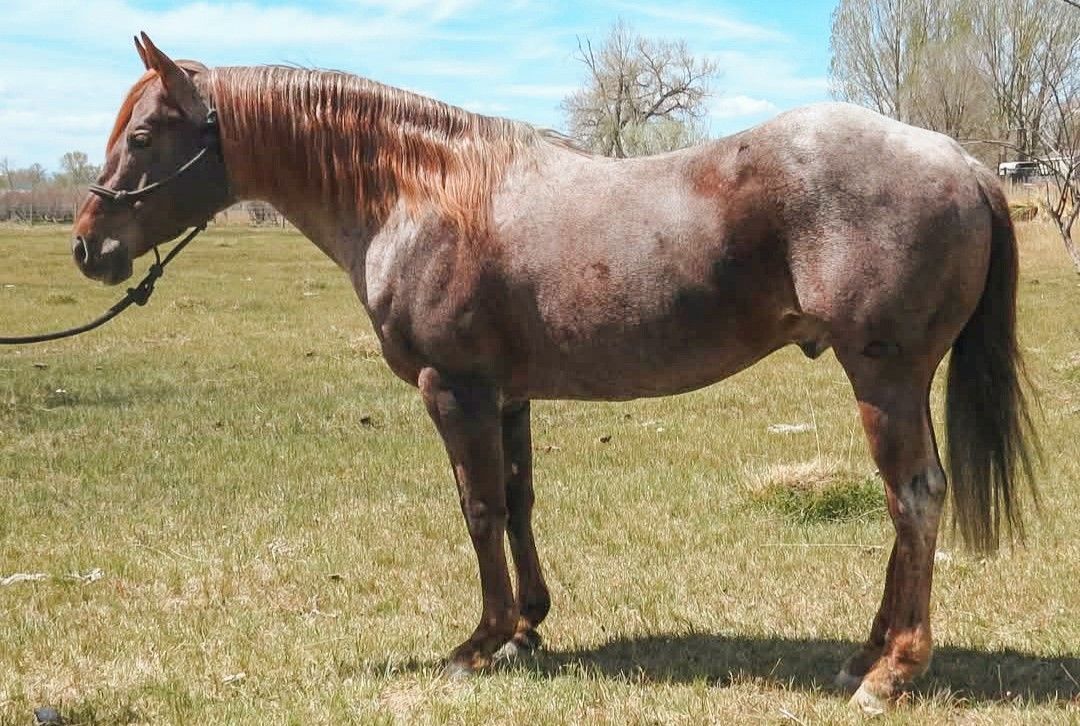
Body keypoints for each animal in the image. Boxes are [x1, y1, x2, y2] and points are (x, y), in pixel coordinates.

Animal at [71, 34, 1035, 713]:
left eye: (146, 134)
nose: (89, 247)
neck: (423, 195)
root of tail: (958, 158)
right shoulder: (509, 394)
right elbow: (520, 499)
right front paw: (529, 625)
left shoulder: (454, 388)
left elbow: (479, 508)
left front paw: (481, 641)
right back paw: (864, 655)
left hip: (886, 380)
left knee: (914, 497)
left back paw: (891, 671)